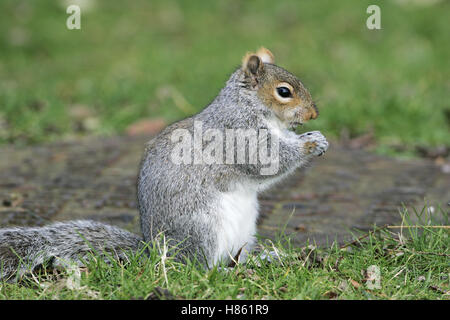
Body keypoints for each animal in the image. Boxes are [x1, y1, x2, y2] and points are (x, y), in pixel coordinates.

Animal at [0, 47, 326, 280]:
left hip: (244, 232)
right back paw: (222, 272)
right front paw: (309, 144)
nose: (314, 114)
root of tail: (155, 253)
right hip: (201, 228)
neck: (250, 107)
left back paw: (262, 260)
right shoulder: (238, 134)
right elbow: (266, 161)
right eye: (283, 92)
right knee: (198, 269)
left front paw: (317, 137)